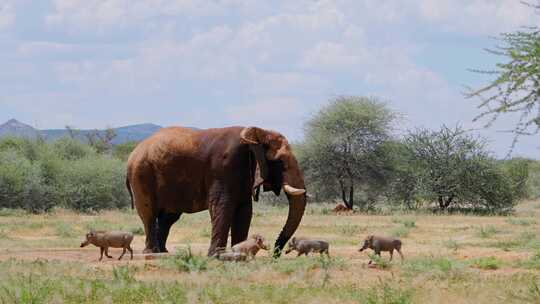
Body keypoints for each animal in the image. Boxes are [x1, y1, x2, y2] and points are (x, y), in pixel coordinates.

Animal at [124, 126, 306, 256]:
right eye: (280, 162)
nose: (275, 254)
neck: (256, 136)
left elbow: (244, 211)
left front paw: (237, 253)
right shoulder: (223, 167)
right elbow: (223, 206)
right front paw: (216, 256)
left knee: (168, 218)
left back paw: (163, 252)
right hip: (141, 173)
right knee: (148, 212)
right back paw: (152, 253)